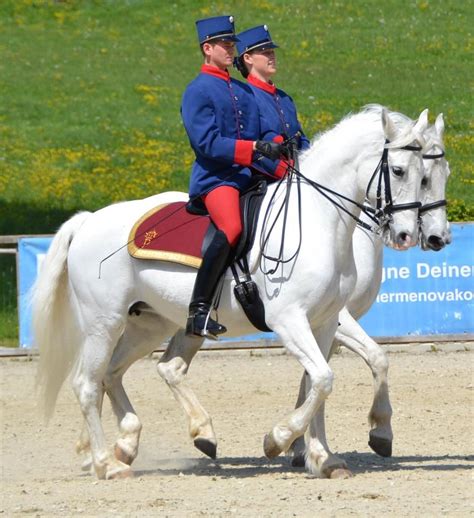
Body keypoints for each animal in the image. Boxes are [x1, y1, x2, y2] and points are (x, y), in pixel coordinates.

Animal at [32, 106, 426, 484]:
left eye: (427, 174)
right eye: (398, 170)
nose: (410, 235)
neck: (318, 221)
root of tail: (88, 220)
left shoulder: (325, 322)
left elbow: (320, 381)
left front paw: (322, 458)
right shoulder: (290, 320)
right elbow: (324, 378)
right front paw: (279, 439)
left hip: (148, 325)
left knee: (114, 373)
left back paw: (134, 442)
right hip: (104, 323)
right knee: (87, 383)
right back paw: (107, 464)